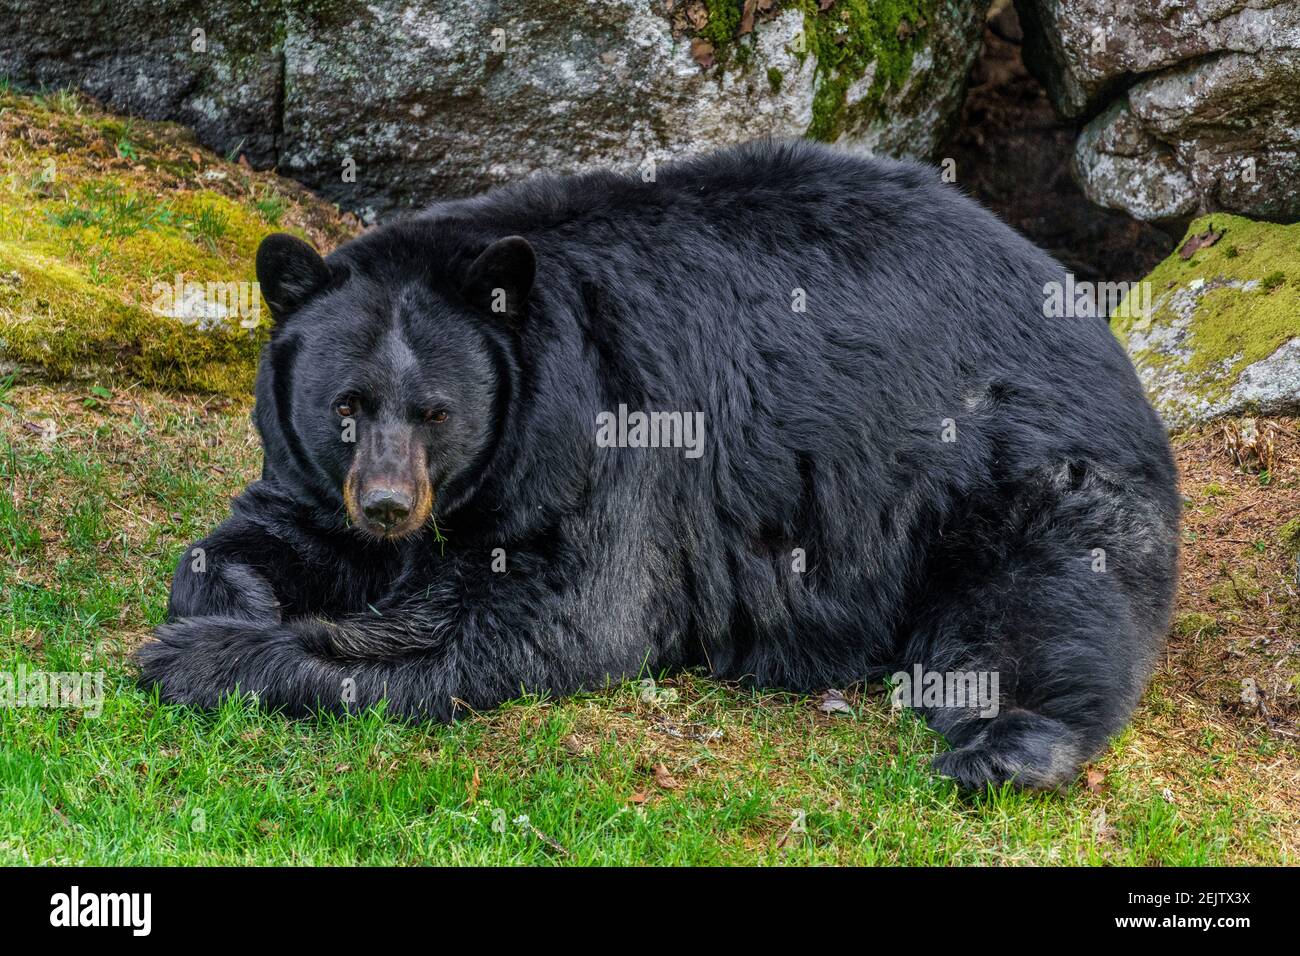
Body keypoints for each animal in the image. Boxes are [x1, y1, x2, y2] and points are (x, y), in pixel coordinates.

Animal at [137, 138, 1185, 790]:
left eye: (436, 412)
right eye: (346, 408)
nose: (390, 506)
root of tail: (1080, 305)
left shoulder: (610, 447)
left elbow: (546, 621)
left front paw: (200, 657)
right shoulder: (325, 479)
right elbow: (268, 525)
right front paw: (235, 597)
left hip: (1013, 462)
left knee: (1043, 602)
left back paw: (1009, 745)